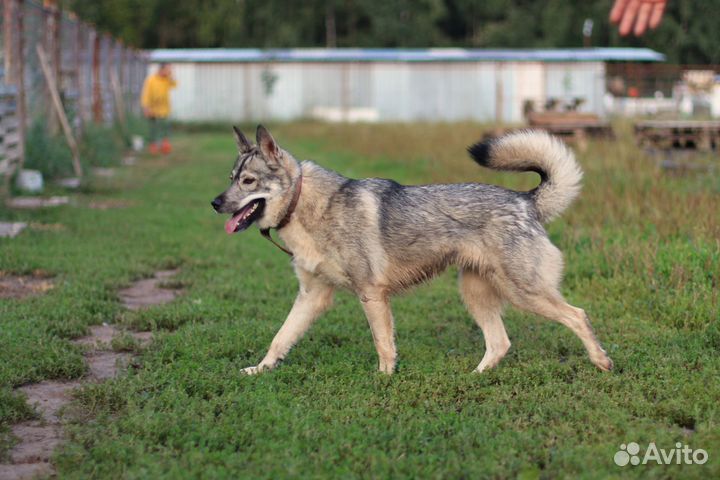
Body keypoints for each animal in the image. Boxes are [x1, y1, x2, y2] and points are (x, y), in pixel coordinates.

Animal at [212, 125, 612, 376]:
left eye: (248, 181)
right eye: (231, 178)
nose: (215, 203)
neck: (307, 206)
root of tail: (527, 201)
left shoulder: (371, 295)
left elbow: (383, 345)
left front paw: (384, 380)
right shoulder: (312, 296)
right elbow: (279, 339)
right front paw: (259, 369)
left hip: (524, 293)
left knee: (577, 315)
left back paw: (601, 362)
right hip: (475, 293)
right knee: (500, 343)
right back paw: (475, 376)